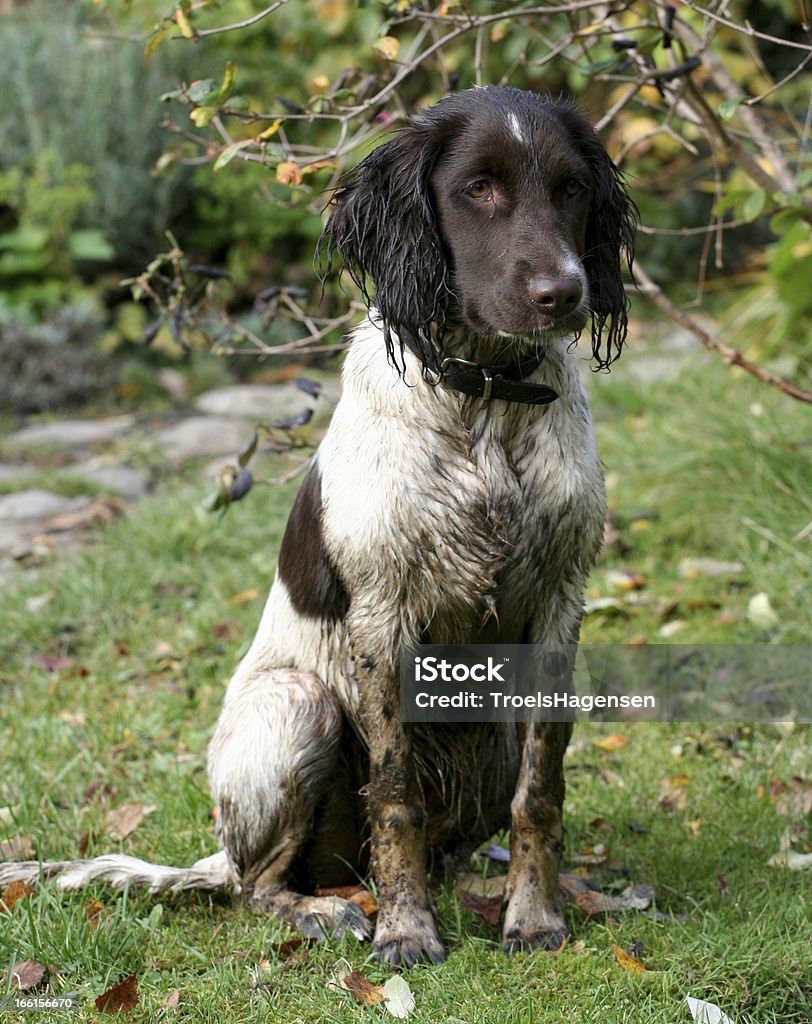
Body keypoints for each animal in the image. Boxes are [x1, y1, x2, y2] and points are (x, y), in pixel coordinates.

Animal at [0, 83, 634, 962]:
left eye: (572, 189)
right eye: (478, 188)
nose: (563, 293)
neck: (483, 403)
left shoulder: (559, 602)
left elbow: (541, 793)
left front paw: (534, 915)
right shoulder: (383, 615)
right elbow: (395, 796)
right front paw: (405, 932)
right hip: (297, 705)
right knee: (257, 885)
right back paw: (323, 910)